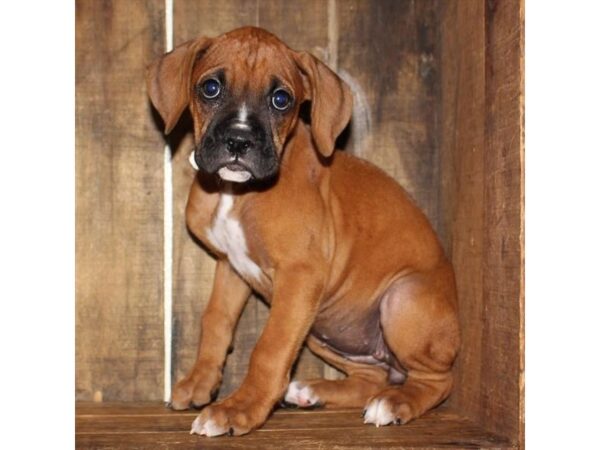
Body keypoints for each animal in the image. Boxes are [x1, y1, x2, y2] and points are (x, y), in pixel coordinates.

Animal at [145, 27, 460, 436]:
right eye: (210, 88)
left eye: (281, 99)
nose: (238, 141)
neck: (237, 193)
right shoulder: (231, 268)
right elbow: (215, 323)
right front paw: (200, 383)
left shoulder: (300, 277)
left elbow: (269, 348)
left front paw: (238, 410)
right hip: (323, 326)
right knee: (370, 378)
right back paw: (312, 391)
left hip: (399, 299)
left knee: (437, 381)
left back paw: (394, 403)